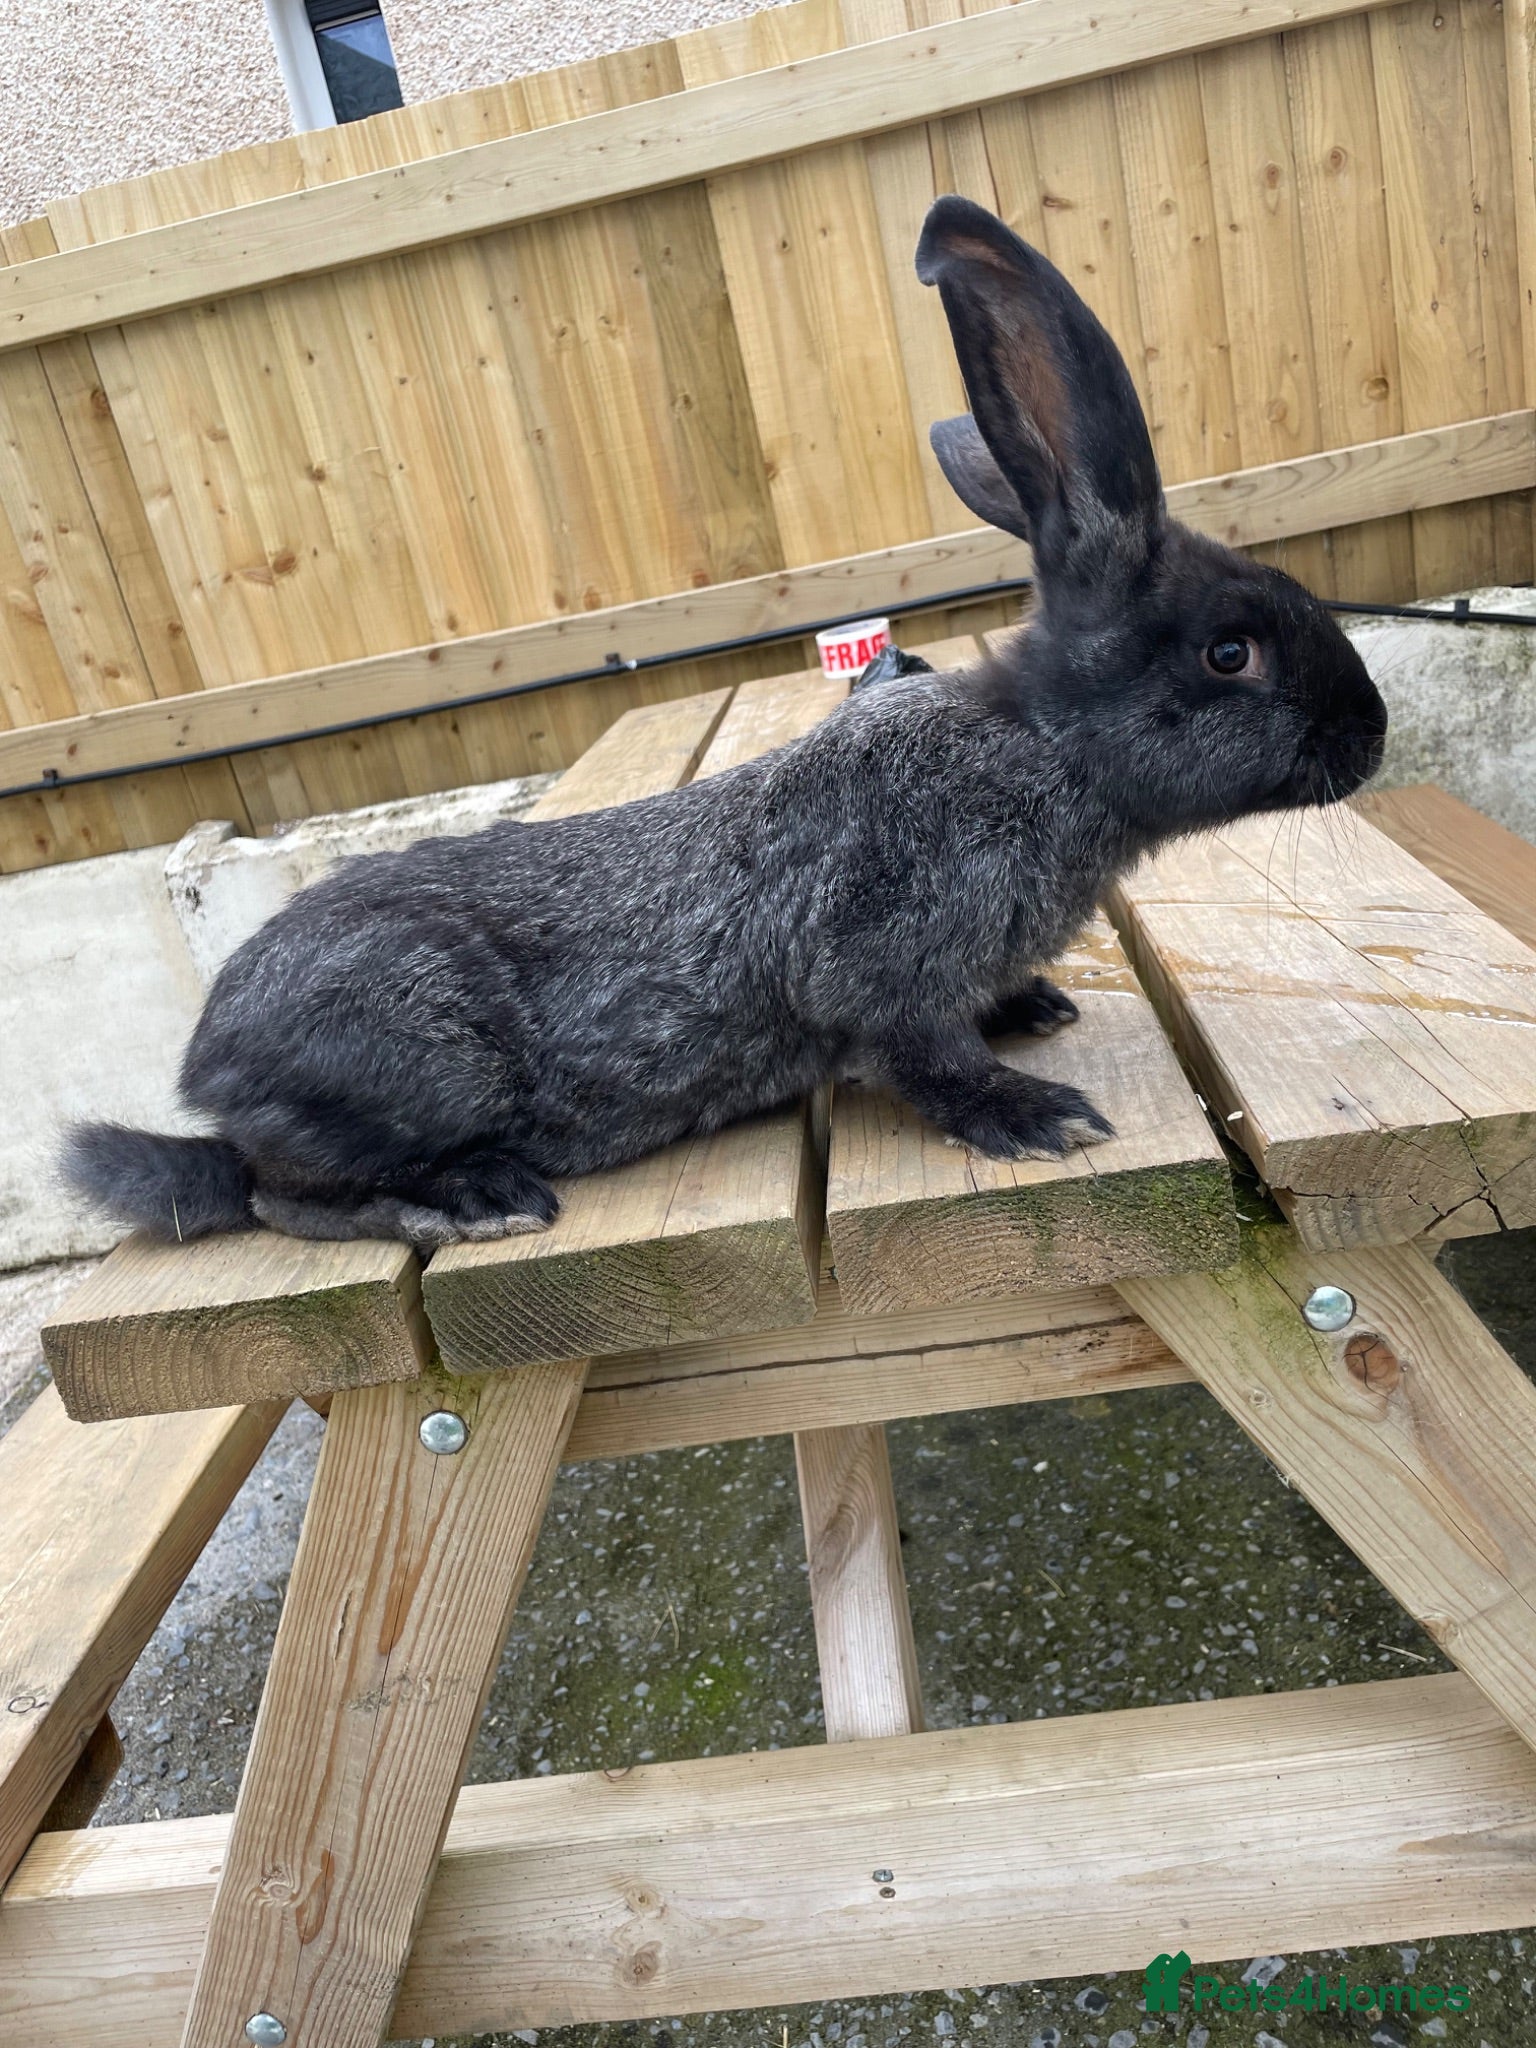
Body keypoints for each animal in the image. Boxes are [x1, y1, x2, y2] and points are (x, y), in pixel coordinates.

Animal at [64, 196, 1386, 1251]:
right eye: (1231, 651)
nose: (1369, 734)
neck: (1047, 752)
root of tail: (211, 1067)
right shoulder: (872, 969)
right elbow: (921, 1054)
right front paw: (1036, 1116)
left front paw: (1035, 1007)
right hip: (422, 1067)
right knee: (278, 1194)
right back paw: (474, 1201)